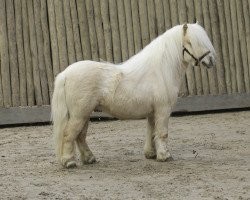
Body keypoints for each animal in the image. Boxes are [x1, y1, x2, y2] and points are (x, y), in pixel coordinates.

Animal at [52, 22, 215, 168]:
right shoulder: (163, 110)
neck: (160, 70)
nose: (212, 61)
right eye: (192, 42)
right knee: (69, 134)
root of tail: (65, 74)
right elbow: (162, 133)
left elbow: (151, 132)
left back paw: (89, 158)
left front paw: (151, 154)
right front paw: (165, 156)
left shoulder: (152, 113)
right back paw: (69, 161)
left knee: (80, 136)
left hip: (84, 114)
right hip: (79, 114)